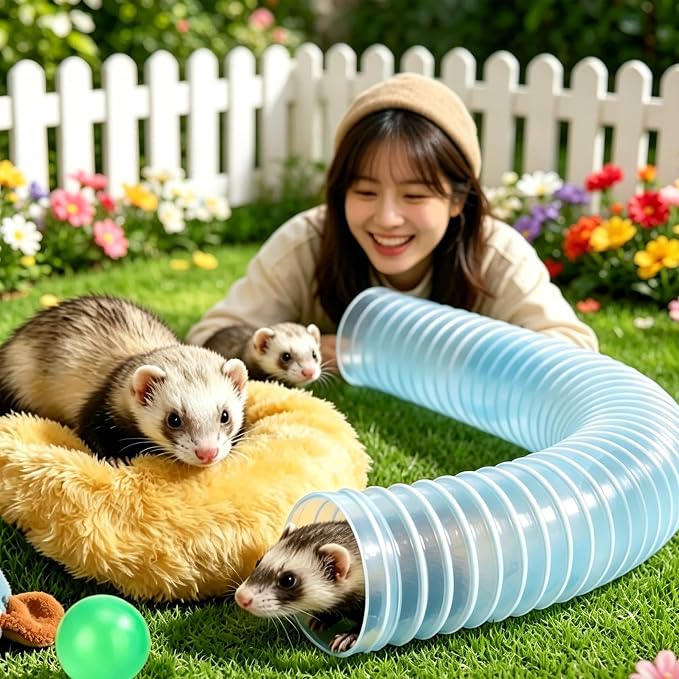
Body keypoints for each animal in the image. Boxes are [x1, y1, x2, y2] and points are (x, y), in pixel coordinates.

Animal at [0, 294, 248, 466]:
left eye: (225, 415)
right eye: (174, 419)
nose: (207, 452)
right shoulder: (97, 406)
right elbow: (91, 431)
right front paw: (115, 458)